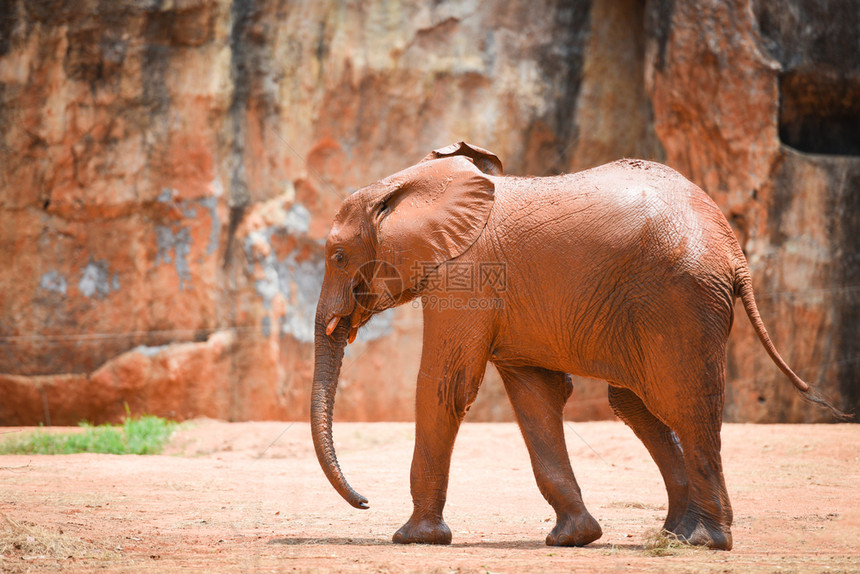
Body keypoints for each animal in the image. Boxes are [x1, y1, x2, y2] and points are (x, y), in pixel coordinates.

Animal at [310, 141, 848, 552]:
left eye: (337, 256)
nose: (365, 502)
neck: (407, 183)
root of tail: (735, 254)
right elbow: (535, 395)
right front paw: (574, 538)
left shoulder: (467, 275)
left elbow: (445, 386)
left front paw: (413, 538)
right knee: (634, 403)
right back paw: (675, 534)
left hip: (680, 298)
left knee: (683, 402)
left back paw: (705, 542)